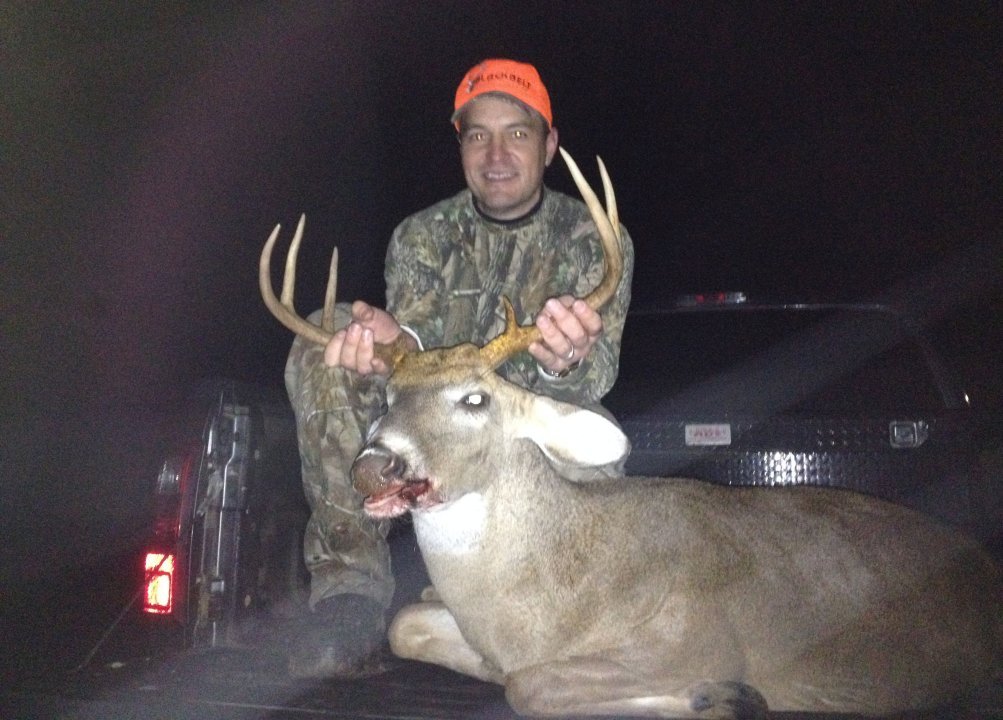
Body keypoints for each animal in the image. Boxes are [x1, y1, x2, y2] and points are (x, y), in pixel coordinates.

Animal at [260, 149, 1003, 719]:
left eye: (474, 398)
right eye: (386, 398)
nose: (373, 465)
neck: (540, 602)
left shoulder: (697, 633)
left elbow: (528, 687)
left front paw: (719, 698)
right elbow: (408, 626)